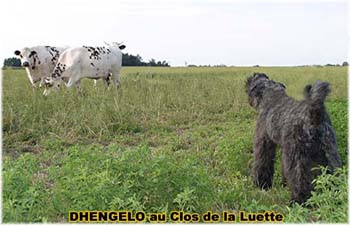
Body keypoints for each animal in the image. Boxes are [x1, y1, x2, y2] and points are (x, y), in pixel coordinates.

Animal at [246, 72, 342, 204]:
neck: (270, 95)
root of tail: (315, 114)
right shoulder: (284, 148)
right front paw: (284, 184)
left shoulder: (264, 142)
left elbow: (262, 162)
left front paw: (261, 185)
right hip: (329, 151)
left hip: (297, 156)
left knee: (300, 179)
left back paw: (298, 200)